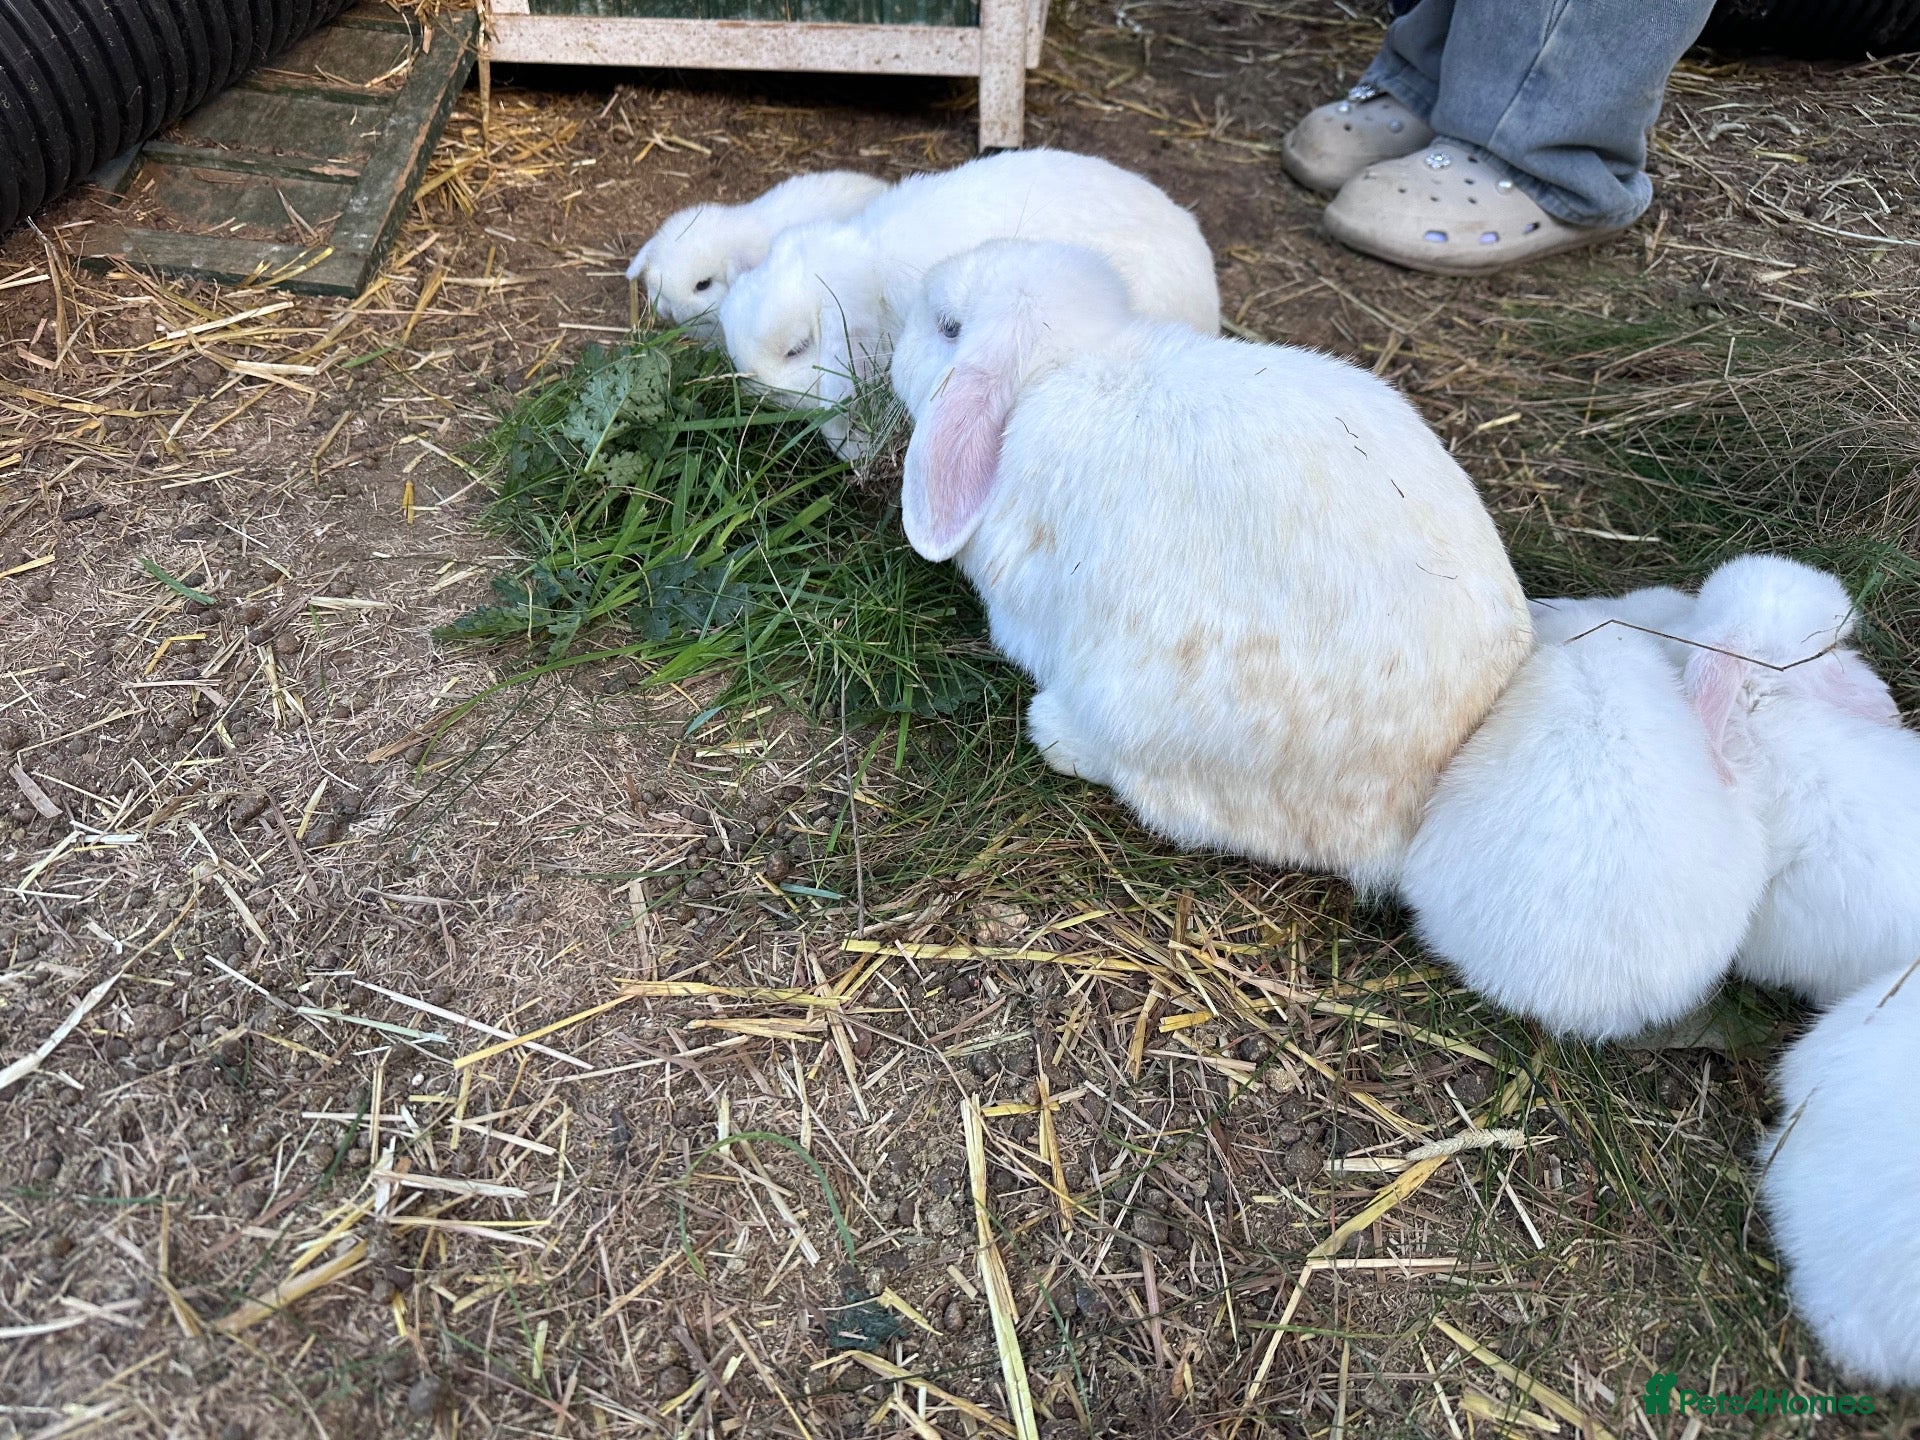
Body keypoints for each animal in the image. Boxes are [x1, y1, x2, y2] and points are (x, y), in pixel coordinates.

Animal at [888, 239, 1529, 892]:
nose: (894, 345)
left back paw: (1057, 733)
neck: (1063, 363)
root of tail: (1413, 800)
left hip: (1136, 709)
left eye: (947, 327)